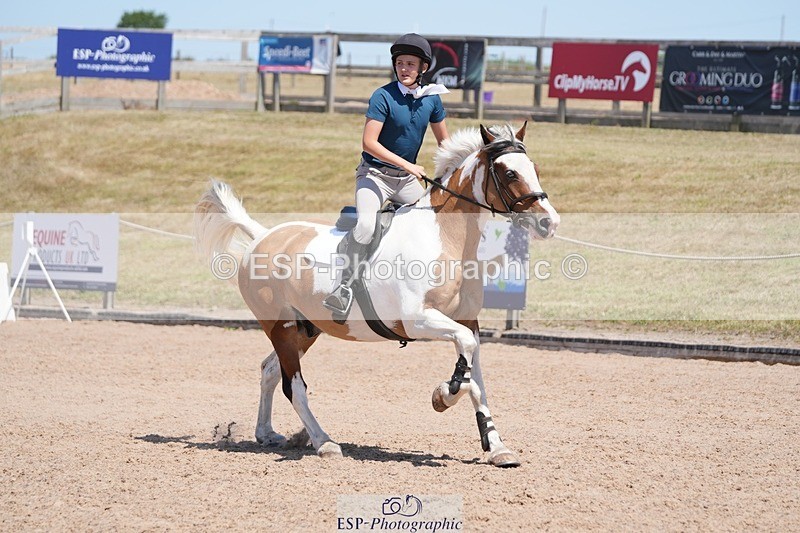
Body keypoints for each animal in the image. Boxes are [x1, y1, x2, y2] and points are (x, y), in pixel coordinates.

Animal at [193, 122, 560, 467]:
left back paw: (267, 433)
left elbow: (477, 382)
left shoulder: (468, 322)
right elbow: (465, 369)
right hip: (280, 327)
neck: (446, 237)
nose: (549, 223)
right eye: (509, 173)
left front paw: (497, 447)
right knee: (292, 386)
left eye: (535, 168)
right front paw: (444, 395)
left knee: (270, 370)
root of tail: (262, 236)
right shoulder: (417, 320)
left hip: (305, 330)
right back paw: (324, 442)